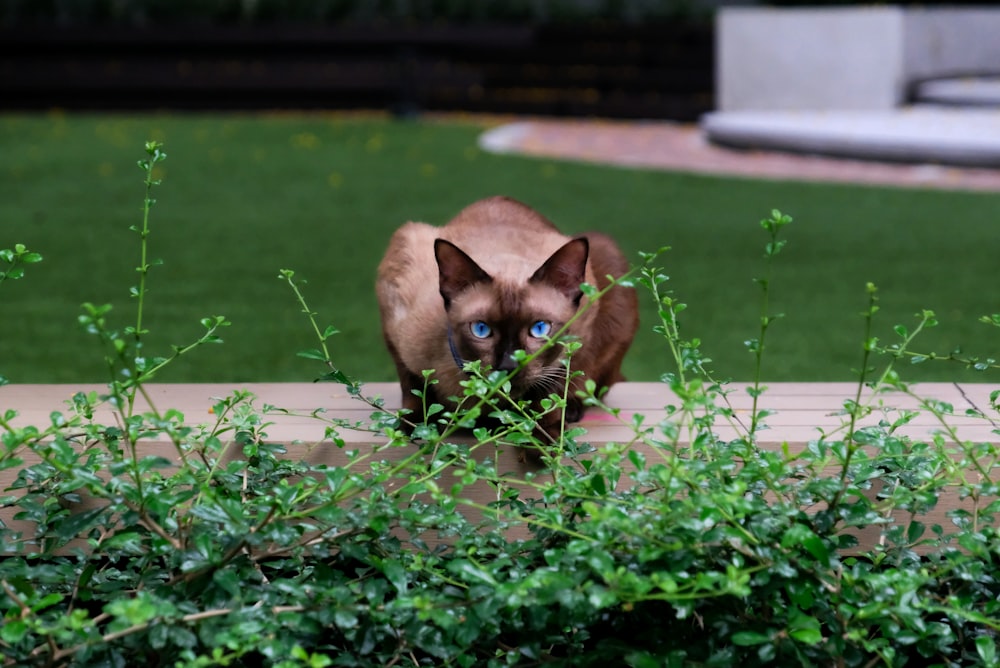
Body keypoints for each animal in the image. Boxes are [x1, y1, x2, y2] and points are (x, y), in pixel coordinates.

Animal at [376, 196, 640, 440]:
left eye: (540, 329)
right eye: (481, 330)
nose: (509, 365)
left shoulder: (579, 333)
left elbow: (550, 389)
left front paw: (545, 441)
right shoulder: (393, 317)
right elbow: (412, 386)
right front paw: (416, 427)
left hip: (606, 253)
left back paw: (572, 409)